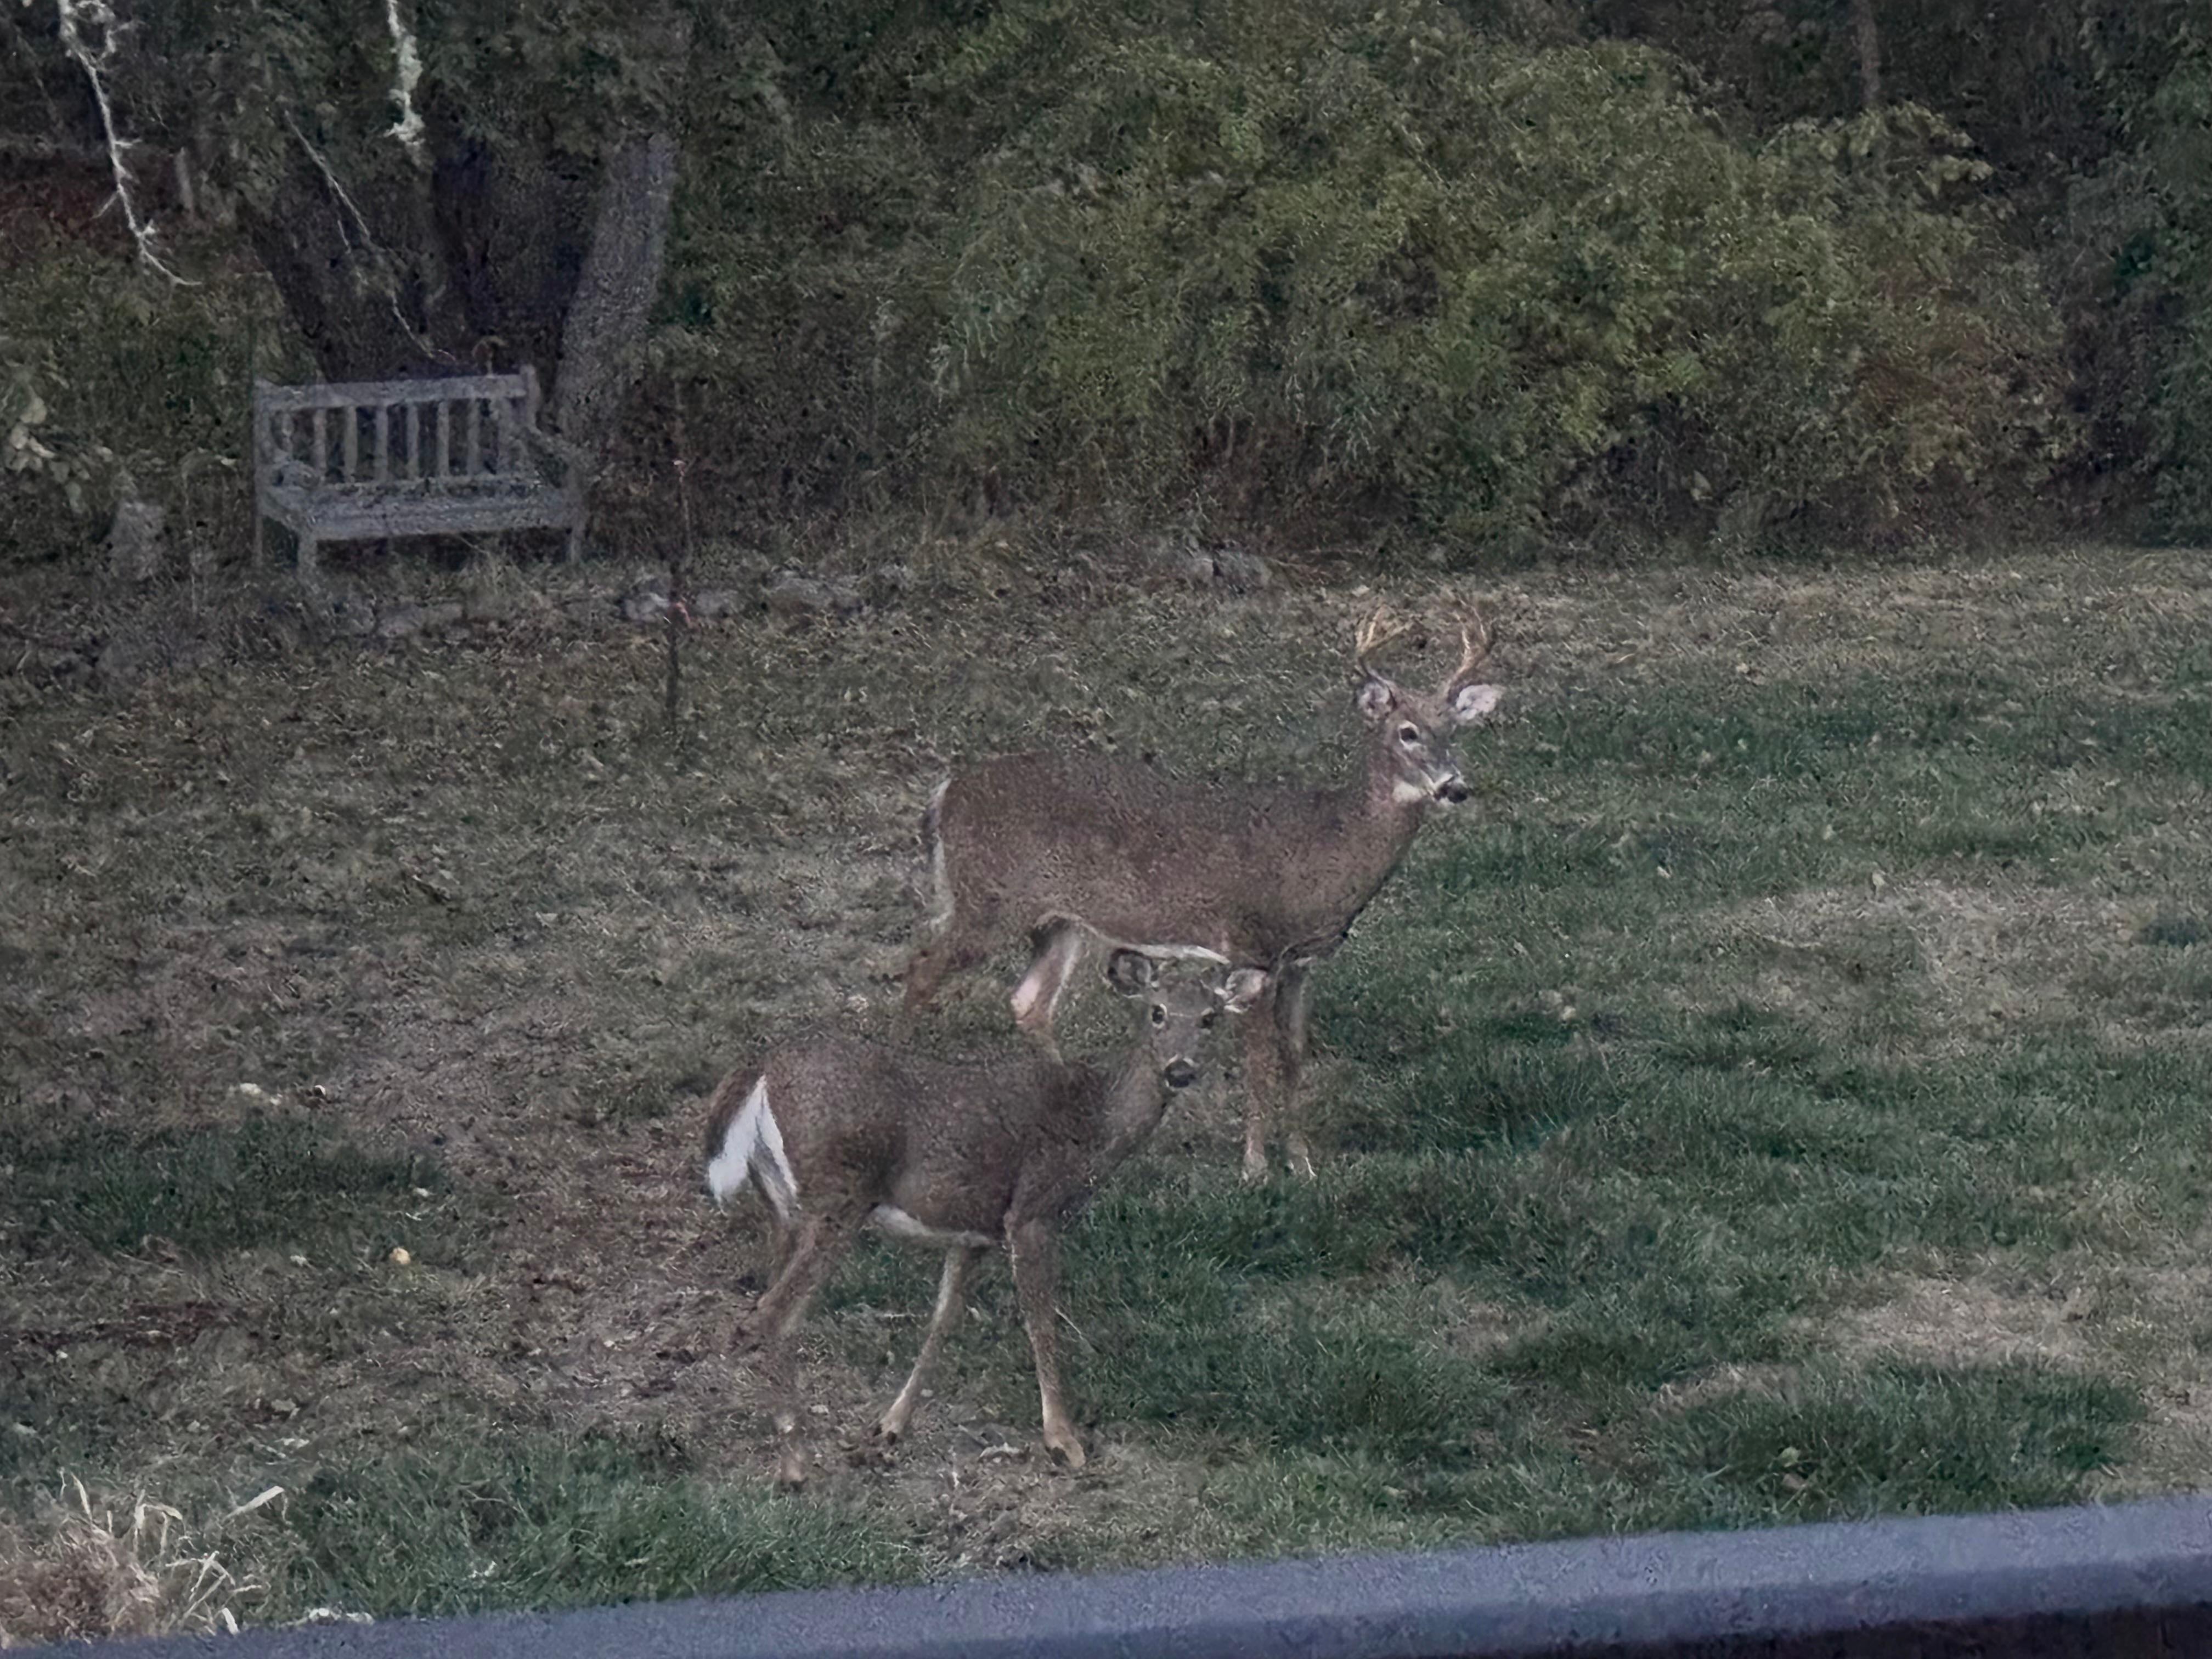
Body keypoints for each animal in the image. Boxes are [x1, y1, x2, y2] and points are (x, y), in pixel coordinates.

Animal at [703, 950, 1265, 1487]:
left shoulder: (972, 1232)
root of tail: (761, 1069)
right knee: (771, 1316)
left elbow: (943, 1319)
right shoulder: (1033, 1211)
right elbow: (1041, 1319)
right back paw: (796, 1465)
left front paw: (889, 1427)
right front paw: (1063, 1440)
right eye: (1158, 1011)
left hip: (784, 1205)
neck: (1095, 1126)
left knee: (770, 1309)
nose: (1180, 1070)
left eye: (1210, 1018)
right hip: (839, 1195)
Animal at [900, 600, 1503, 1183]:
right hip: (987, 900)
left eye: (1454, 730)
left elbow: (1294, 1058)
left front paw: (1303, 1165)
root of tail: (945, 792)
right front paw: (1256, 1169)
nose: (1454, 787)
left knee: (1028, 1002)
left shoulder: (1303, 962)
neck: (1326, 848)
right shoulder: (1251, 943)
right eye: (1407, 731)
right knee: (923, 968)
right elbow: (1259, 1063)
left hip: (1060, 920)